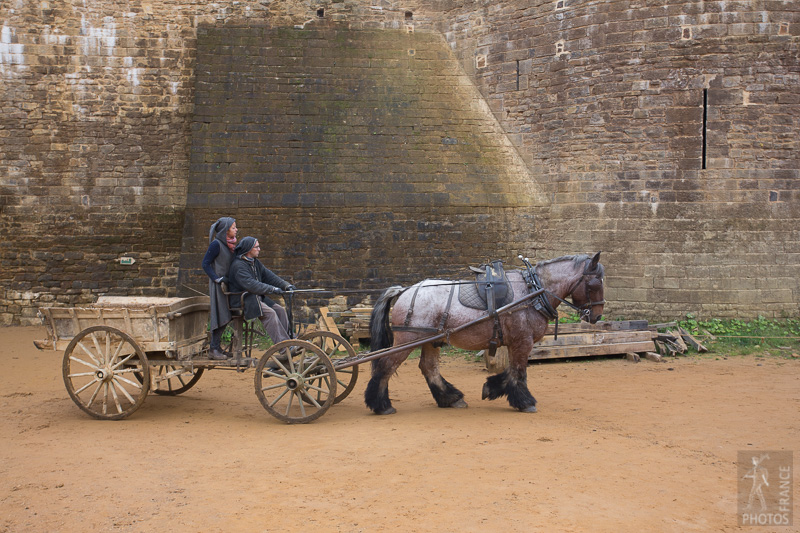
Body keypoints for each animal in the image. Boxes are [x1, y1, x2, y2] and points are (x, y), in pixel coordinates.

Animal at [366, 251, 604, 414]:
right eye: (594, 284)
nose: (597, 316)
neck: (532, 291)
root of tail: (405, 290)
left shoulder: (514, 342)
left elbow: (511, 371)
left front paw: (492, 388)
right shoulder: (523, 341)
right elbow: (518, 371)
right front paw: (525, 402)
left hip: (430, 340)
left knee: (429, 368)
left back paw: (451, 398)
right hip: (408, 339)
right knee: (386, 365)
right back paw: (380, 405)